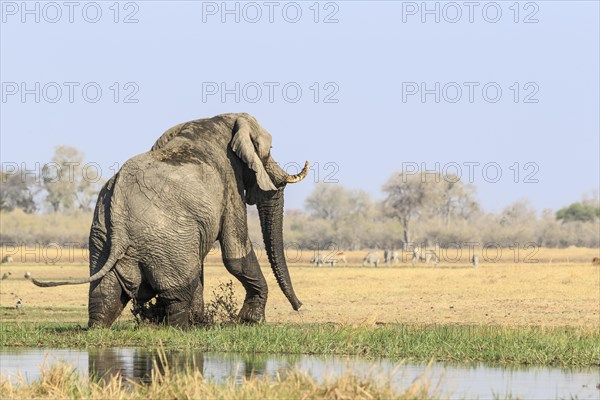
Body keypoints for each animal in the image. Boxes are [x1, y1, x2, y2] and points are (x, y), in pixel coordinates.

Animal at [31, 113, 310, 328]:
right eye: (269, 151)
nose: (299, 307)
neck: (222, 119)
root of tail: (119, 217)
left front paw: (208, 322)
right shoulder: (230, 181)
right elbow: (235, 253)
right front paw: (251, 322)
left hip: (103, 237)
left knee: (105, 293)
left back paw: (100, 328)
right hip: (166, 240)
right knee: (177, 294)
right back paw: (181, 328)